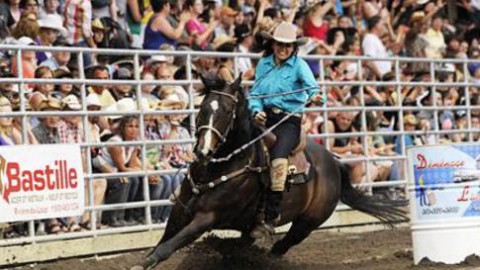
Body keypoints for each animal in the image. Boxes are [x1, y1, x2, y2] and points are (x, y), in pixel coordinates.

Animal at [133, 75, 406, 268]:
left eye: (227, 111)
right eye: (203, 108)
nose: (203, 150)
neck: (218, 167)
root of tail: (334, 164)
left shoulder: (207, 217)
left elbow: (167, 247)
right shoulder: (180, 211)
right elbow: (163, 241)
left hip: (307, 223)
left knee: (281, 247)